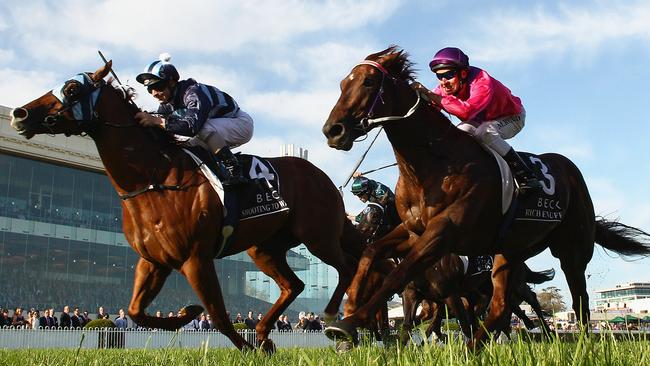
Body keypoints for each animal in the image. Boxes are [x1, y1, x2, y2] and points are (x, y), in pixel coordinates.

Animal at [10, 62, 362, 352]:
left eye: (72, 88)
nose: (19, 114)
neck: (155, 178)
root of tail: (325, 178)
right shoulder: (153, 261)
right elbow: (136, 312)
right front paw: (187, 313)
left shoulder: (196, 258)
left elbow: (218, 315)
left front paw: (244, 348)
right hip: (264, 248)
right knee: (295, 284)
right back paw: (265, 335)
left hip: (317, 236)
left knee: (348, 267)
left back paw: (336, 321)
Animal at [320, 46, 648, 348]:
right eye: (342, 83)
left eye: (369, 82)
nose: (332, 130)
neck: (432, 164)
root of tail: (569, 169)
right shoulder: (413, 231)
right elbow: (371, 253)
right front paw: (348, 309)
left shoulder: (444, 233)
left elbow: (399, 274)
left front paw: (349, 323)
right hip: (511, 251)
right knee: (500, 307)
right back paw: (475, 346)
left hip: (572, 247)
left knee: (579, 298)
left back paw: (577, 342)